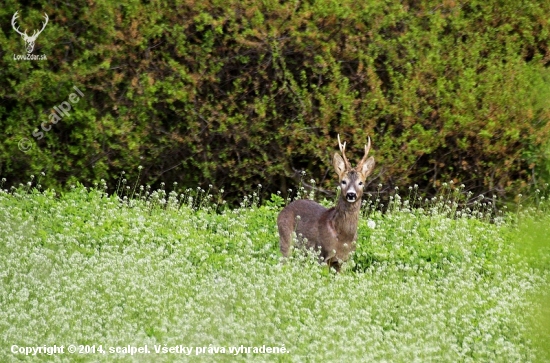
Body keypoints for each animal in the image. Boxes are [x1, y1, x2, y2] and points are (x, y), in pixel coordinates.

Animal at [278, 135, 378, 272]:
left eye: (361, 182)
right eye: (343, 181)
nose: (351, 194)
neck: (343, 237)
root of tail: (283, 211)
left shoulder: (345, 261)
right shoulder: (323, 255)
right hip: (286, 239)